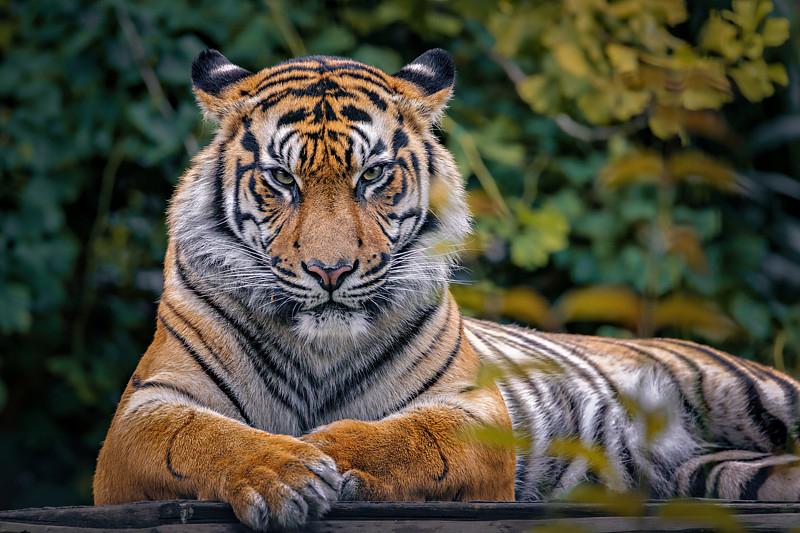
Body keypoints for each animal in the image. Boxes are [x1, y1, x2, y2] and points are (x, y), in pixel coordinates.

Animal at [93, 48, 800, 531]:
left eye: (373, 175)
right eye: (281, 179)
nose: (329, 270)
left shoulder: (474, 406)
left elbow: (410, 437)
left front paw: (324, 451)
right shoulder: (142, 410)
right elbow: (200, 438)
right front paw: (282, 471)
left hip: (753, 392)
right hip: (725, 473)